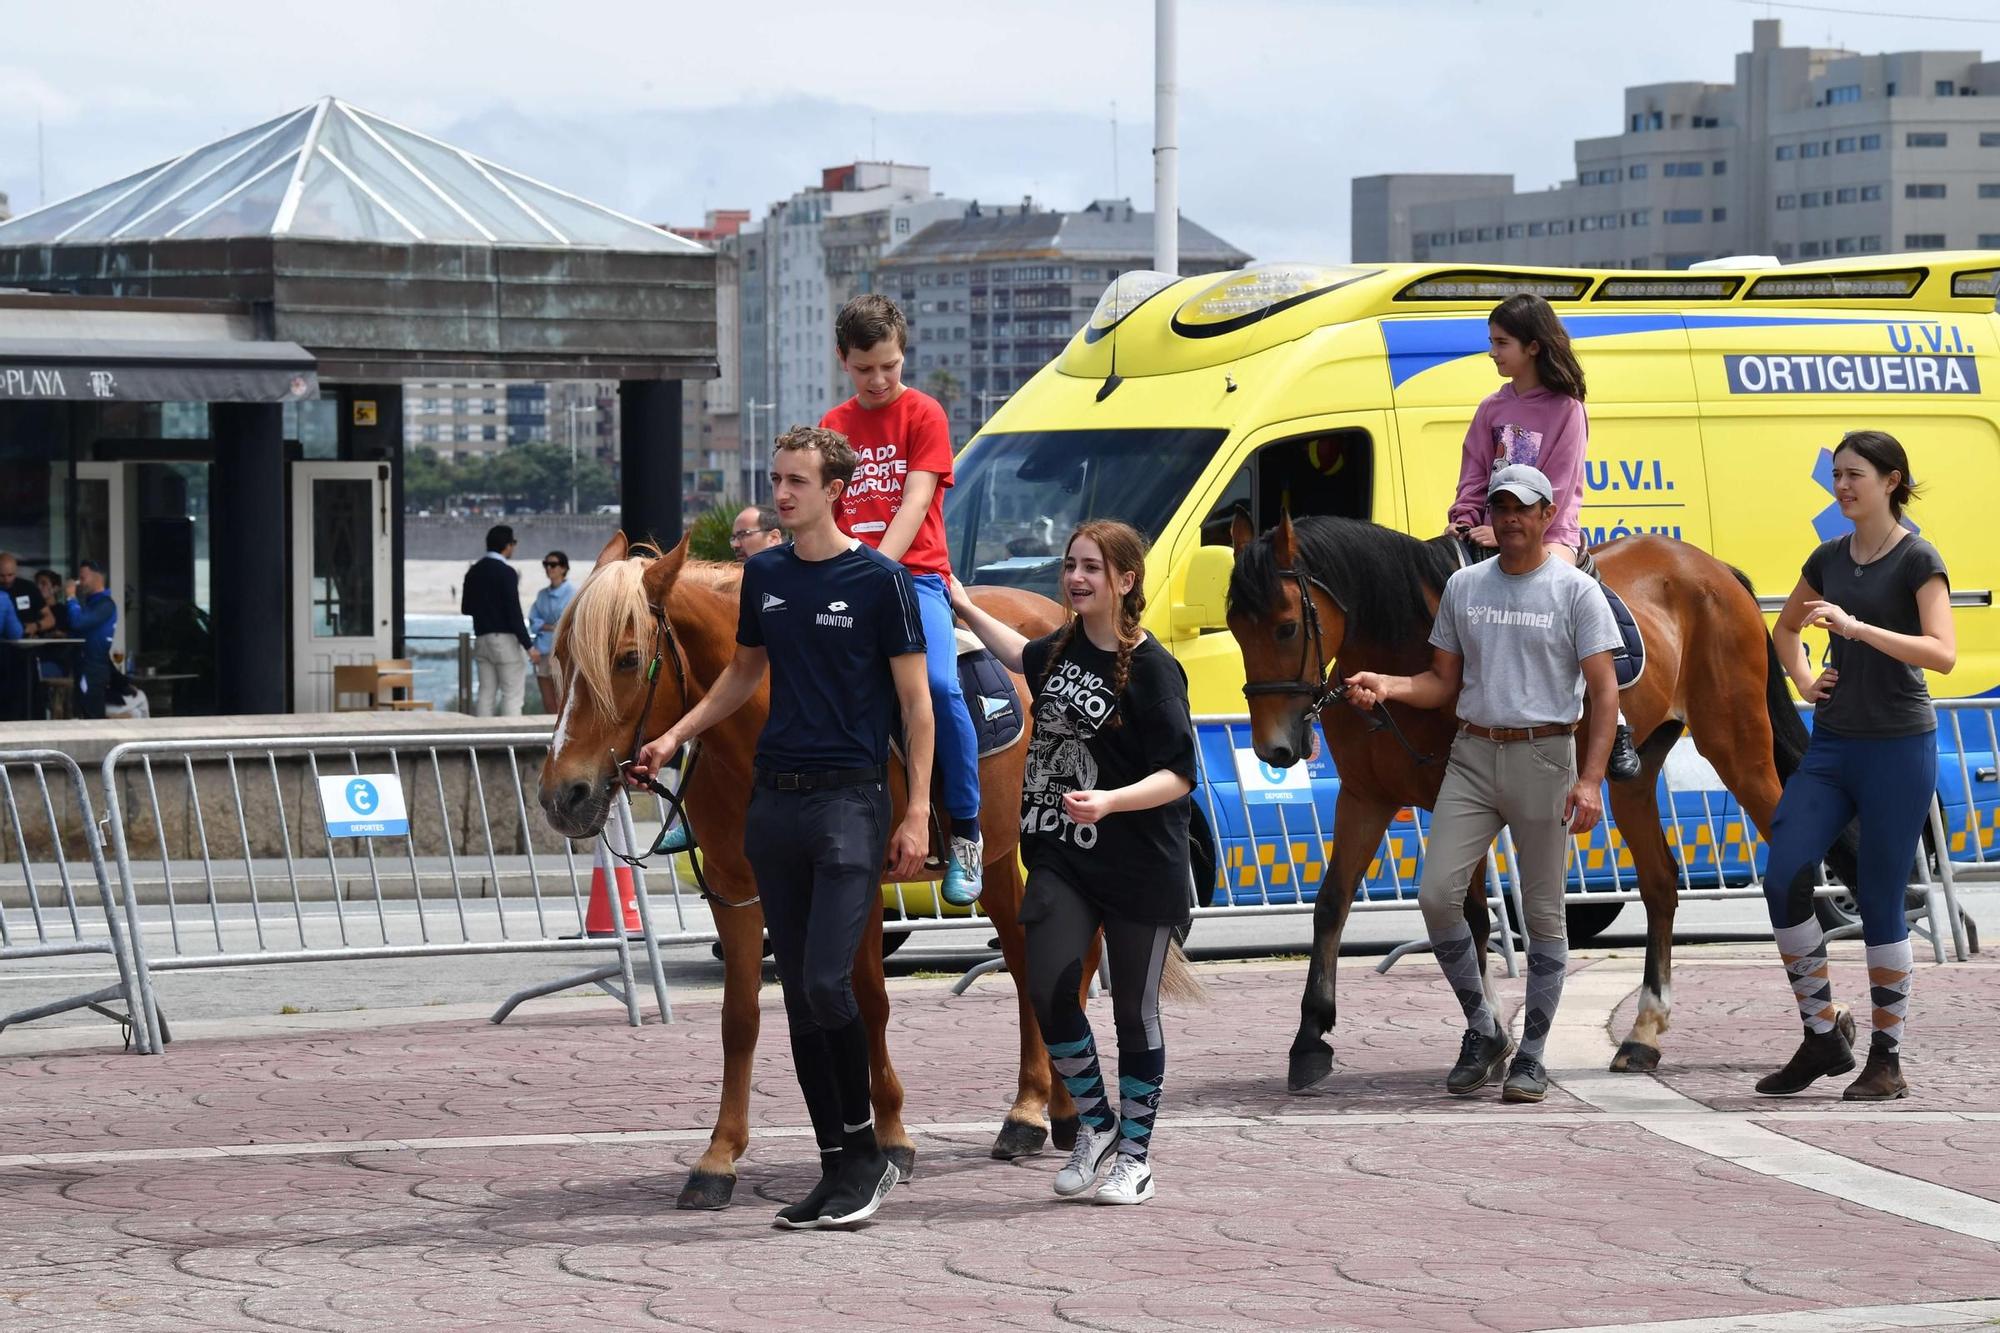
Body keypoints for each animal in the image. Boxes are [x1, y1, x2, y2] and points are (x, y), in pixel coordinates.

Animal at [1216, 512, 1840, 1088]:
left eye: (1286, 627)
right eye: (1233, 627)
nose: (1274, 748)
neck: (1409, 647)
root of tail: (1713, 570)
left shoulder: (1454, 796)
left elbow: (1469, 916)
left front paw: (1489, 1036)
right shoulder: (1364, 798)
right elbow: (1332, 903)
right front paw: (1310, 1038)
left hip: (1739, 749)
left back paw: (1829, 1030)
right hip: (1636, 778)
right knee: (1662, 882)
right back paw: (1644, 1033)